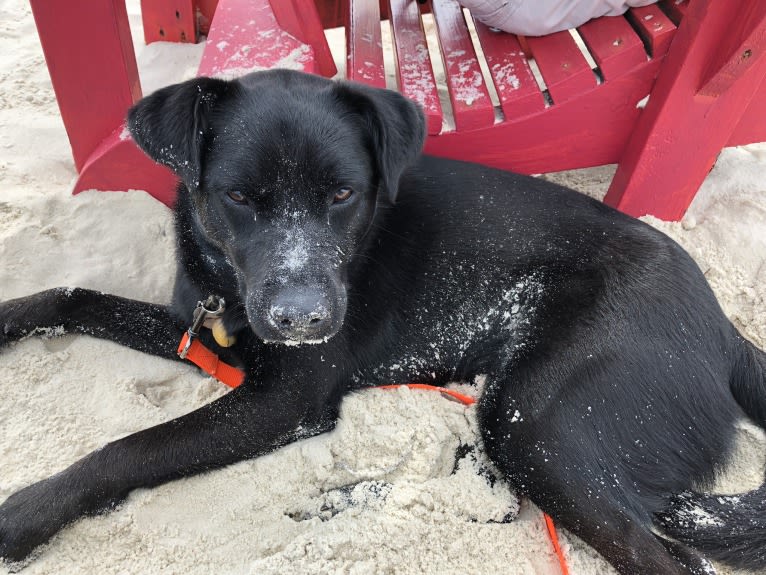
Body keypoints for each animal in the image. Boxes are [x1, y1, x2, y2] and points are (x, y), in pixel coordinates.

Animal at [1, 70, 766, 572]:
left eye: (343, 193)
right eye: (239, 197)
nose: (303, 320)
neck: (226, 287)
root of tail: (726, 331)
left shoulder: (283, 401)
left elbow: (129, 447)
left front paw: (28, 511)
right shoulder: (201, 327)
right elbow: (72, 296)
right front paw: (11, 315)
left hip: (535, 419)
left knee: (669, 558)